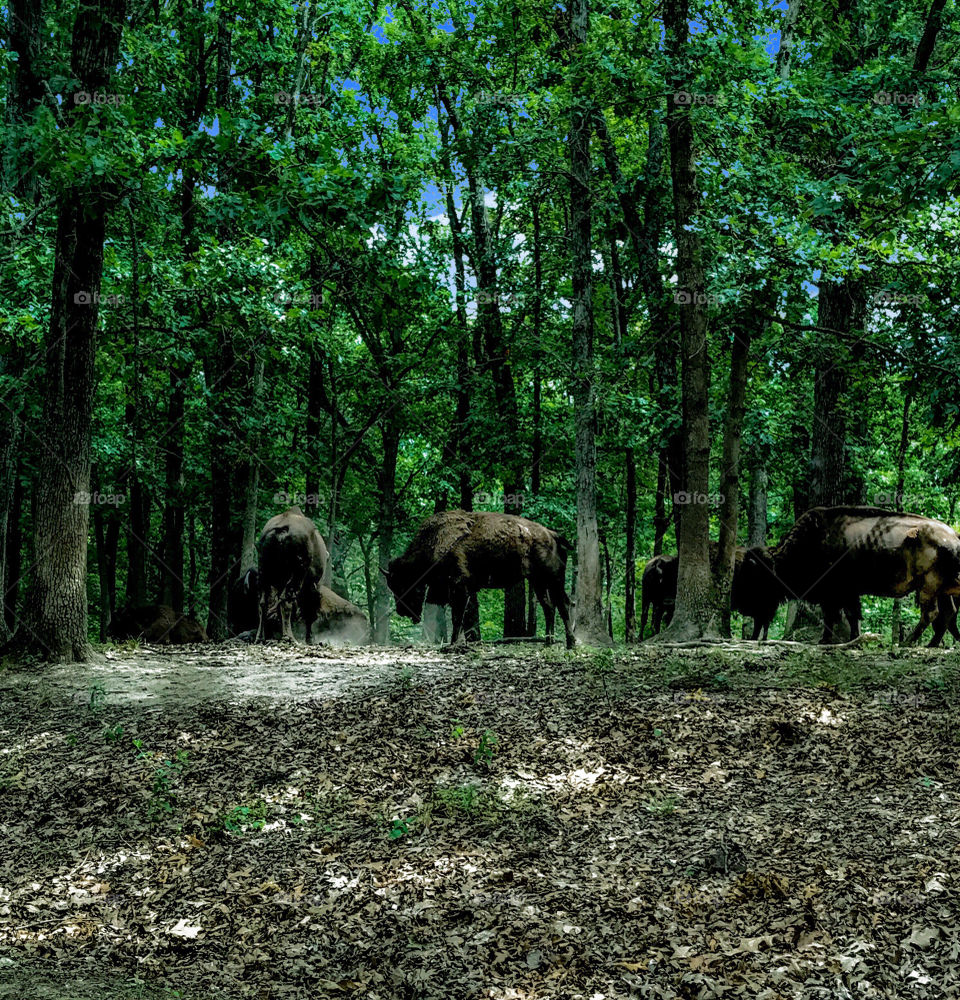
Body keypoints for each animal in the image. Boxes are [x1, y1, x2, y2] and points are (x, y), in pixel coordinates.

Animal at [255, 507, 329, 644]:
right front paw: (309, 638)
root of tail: (281, 530)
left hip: (264, 574)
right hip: (297, 574)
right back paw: (289, 637)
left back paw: (260, 637)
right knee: (287, 601)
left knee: (263, 603)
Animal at [386, 510, 576, 648]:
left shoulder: (459, 588)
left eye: (403, 584)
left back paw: (570, 643)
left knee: (563, 605)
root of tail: (552, 534)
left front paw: (453, 644)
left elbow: (458, 617)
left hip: (554, 580)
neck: (434, 542)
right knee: (549, 607)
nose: (401, 611)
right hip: (538, 582)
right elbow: (462, 618)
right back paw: (549, 642)